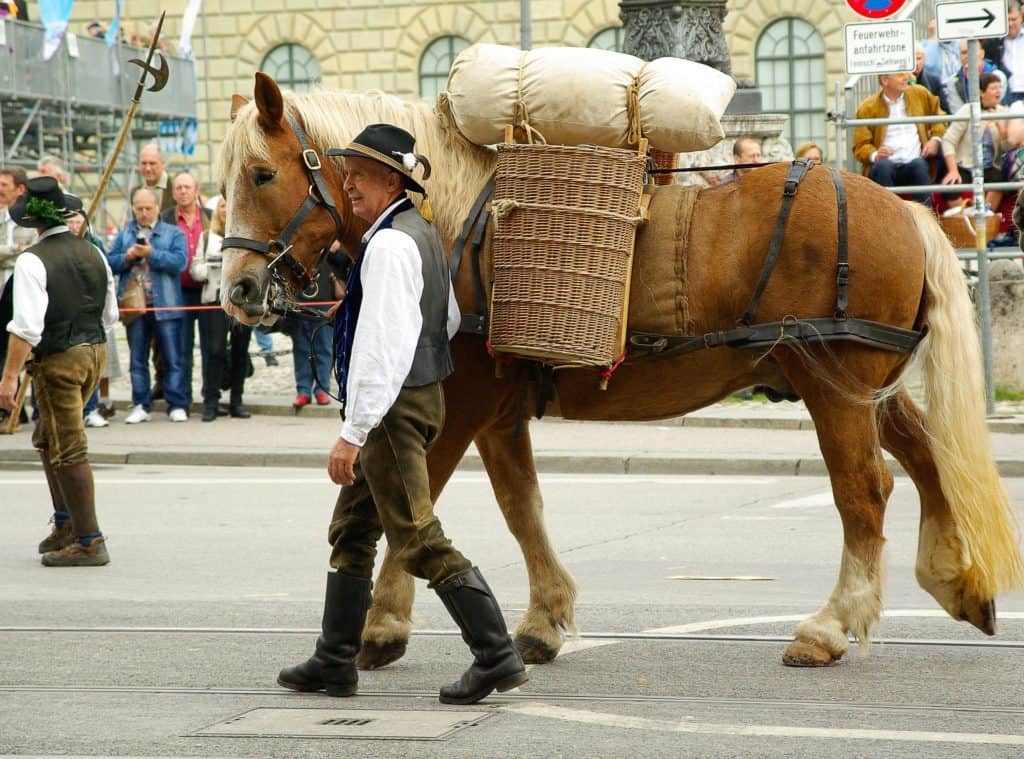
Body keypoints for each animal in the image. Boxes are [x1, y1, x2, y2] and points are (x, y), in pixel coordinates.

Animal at [218, 74, 1024, 667]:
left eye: (260, 173)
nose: (238, 290)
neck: (459, 221)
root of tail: (905, 210)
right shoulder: (500, 410)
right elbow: (522, 507)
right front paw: (543, 616)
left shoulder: (461, 400)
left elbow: (415, 503)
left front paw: (383, 621)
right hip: (866, 389)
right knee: (927, 457)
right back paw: (954, 577)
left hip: (833, 387)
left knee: (866, 490)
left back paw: (831, 623)